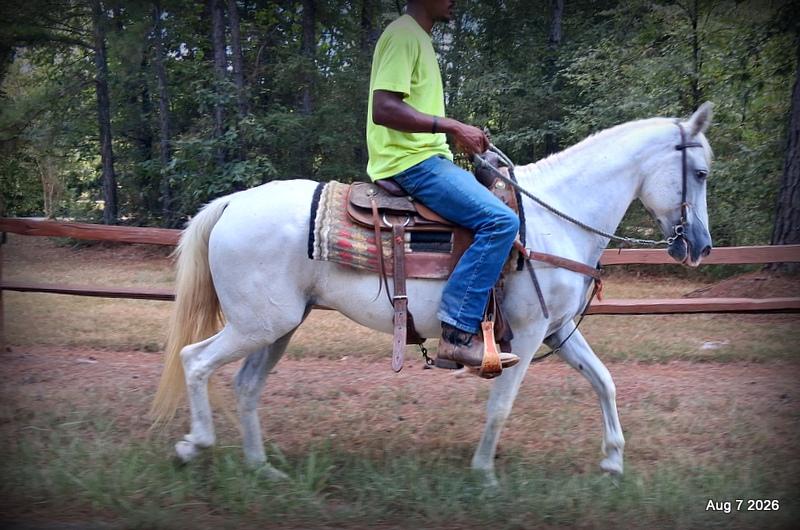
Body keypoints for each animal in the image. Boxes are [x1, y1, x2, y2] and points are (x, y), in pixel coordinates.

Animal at [151, 103, 714, 486]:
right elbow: (501, 405)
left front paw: (613, 460)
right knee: (195, 360)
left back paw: (261, 467)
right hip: (257, 324)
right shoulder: (528, 334)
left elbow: (604, 381)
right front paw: (484, 473)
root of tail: (232, 203)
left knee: (246, 386)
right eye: (702, 173)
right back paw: (193, 446)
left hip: (279, 326)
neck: (555, 219)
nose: (701, 245)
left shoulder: (556, 332)